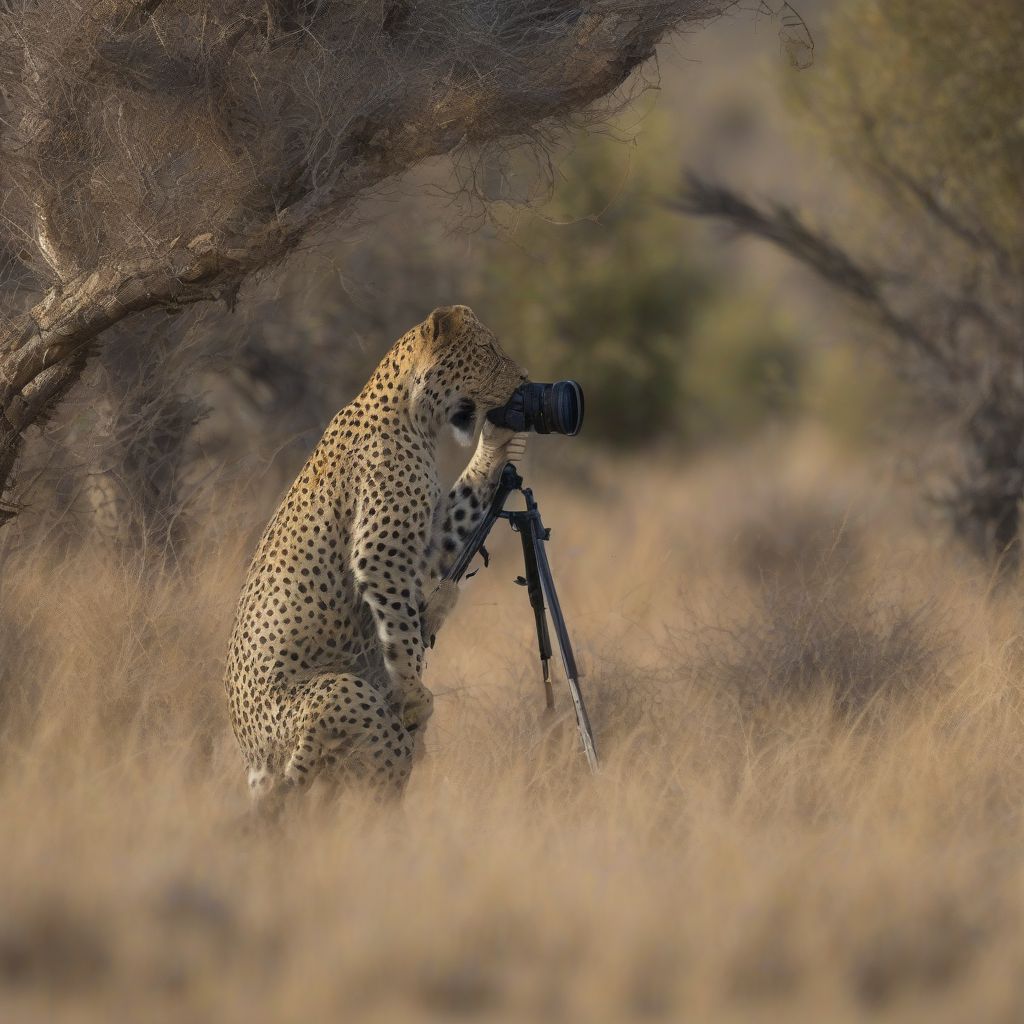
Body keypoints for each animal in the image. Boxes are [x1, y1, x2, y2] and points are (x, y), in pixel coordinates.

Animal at [225, 303, 528, 806]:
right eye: (487, 351)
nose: (524, 379)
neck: (416, 416)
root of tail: (253, 757)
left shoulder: (426, 539)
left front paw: (501, 440)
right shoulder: (382, 553)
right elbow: (402, 634)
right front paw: (414, 694)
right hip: (342, 694)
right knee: (379, 766)